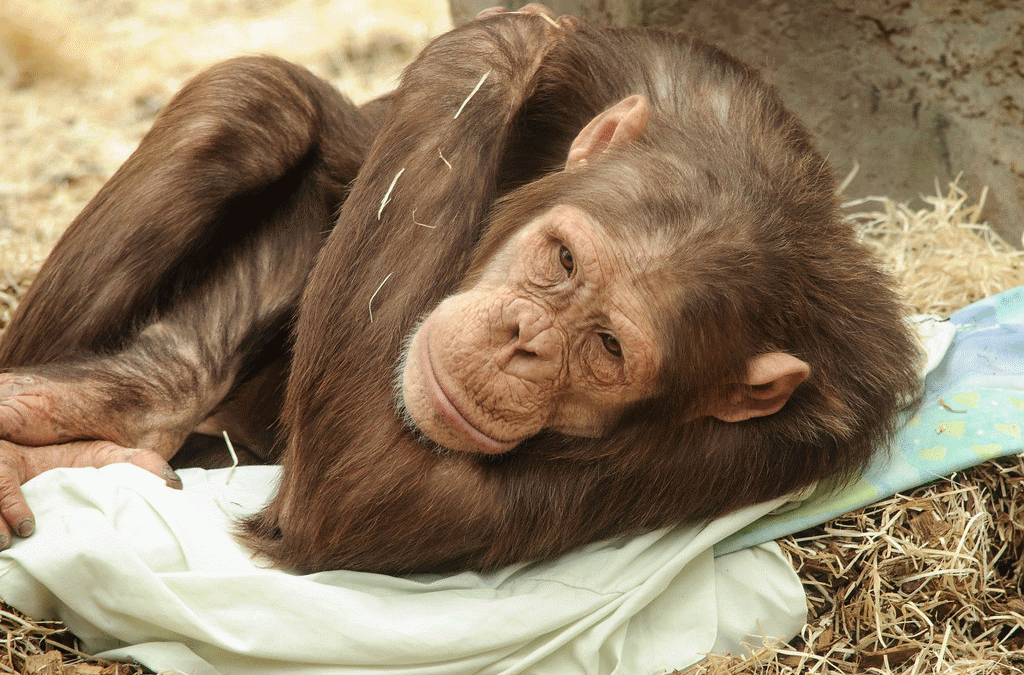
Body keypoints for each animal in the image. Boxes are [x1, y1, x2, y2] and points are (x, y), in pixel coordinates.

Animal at [0, 6, 919, 573]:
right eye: (562, 261)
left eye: (608, 347)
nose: (524, 340)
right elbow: (359, 159)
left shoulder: (787, 438)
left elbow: (374, 486)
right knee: (252, 103)